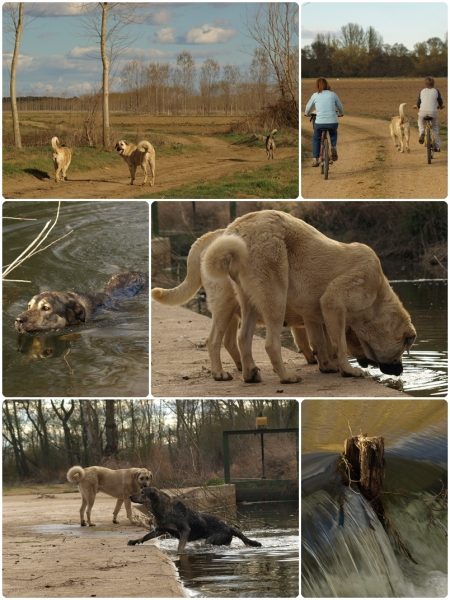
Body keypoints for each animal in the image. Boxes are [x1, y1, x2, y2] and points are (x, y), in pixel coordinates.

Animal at [126, 488, 262, 552]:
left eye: (142, 492)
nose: (129, 496)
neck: (162, 510)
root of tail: (229, 527)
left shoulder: (185, 529)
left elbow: (180, 546)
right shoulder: (160, 529)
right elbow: (145, 536)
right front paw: (135, 541)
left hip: (211, 540)